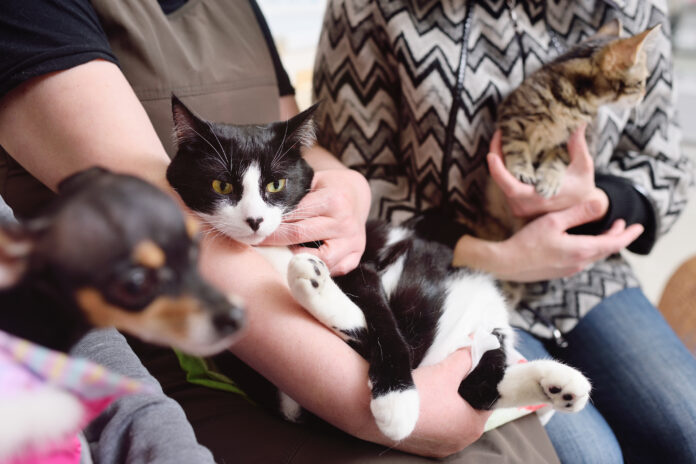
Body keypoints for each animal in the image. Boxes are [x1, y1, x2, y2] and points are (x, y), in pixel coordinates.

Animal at [166, 97, 588, 442]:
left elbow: (384, 325)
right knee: (475, 388)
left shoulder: (353, 258)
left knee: (474, 385)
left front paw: (396, 401)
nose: (254, 220)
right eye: (221, 185)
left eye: (276, 184)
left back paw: (560, 384)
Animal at [500, 19, 656, 198]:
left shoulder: (579, 136)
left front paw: (550, 179)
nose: (644, 94)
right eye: (640, 82)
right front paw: (522, 170)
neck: (570, 100)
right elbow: (516, 146)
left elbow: (558, 158)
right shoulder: (511, 114)